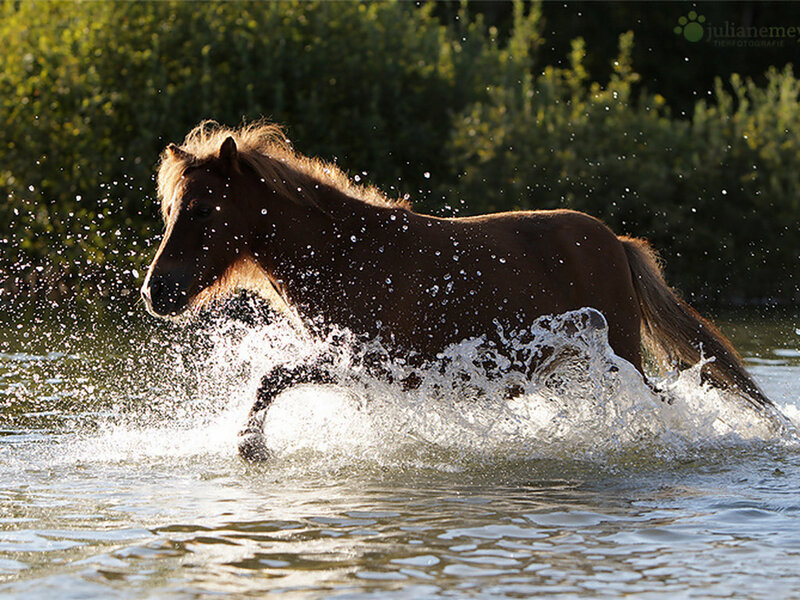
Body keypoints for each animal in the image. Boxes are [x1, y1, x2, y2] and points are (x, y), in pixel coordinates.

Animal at [141, 120, 777, 460]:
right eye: (172, 208)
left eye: (201, 210)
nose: (155, 292)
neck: (350, 255)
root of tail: (616, 243)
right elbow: (275, 377)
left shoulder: (374, 363)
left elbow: (273, 376)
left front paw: (252, 446)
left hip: (617, 359)